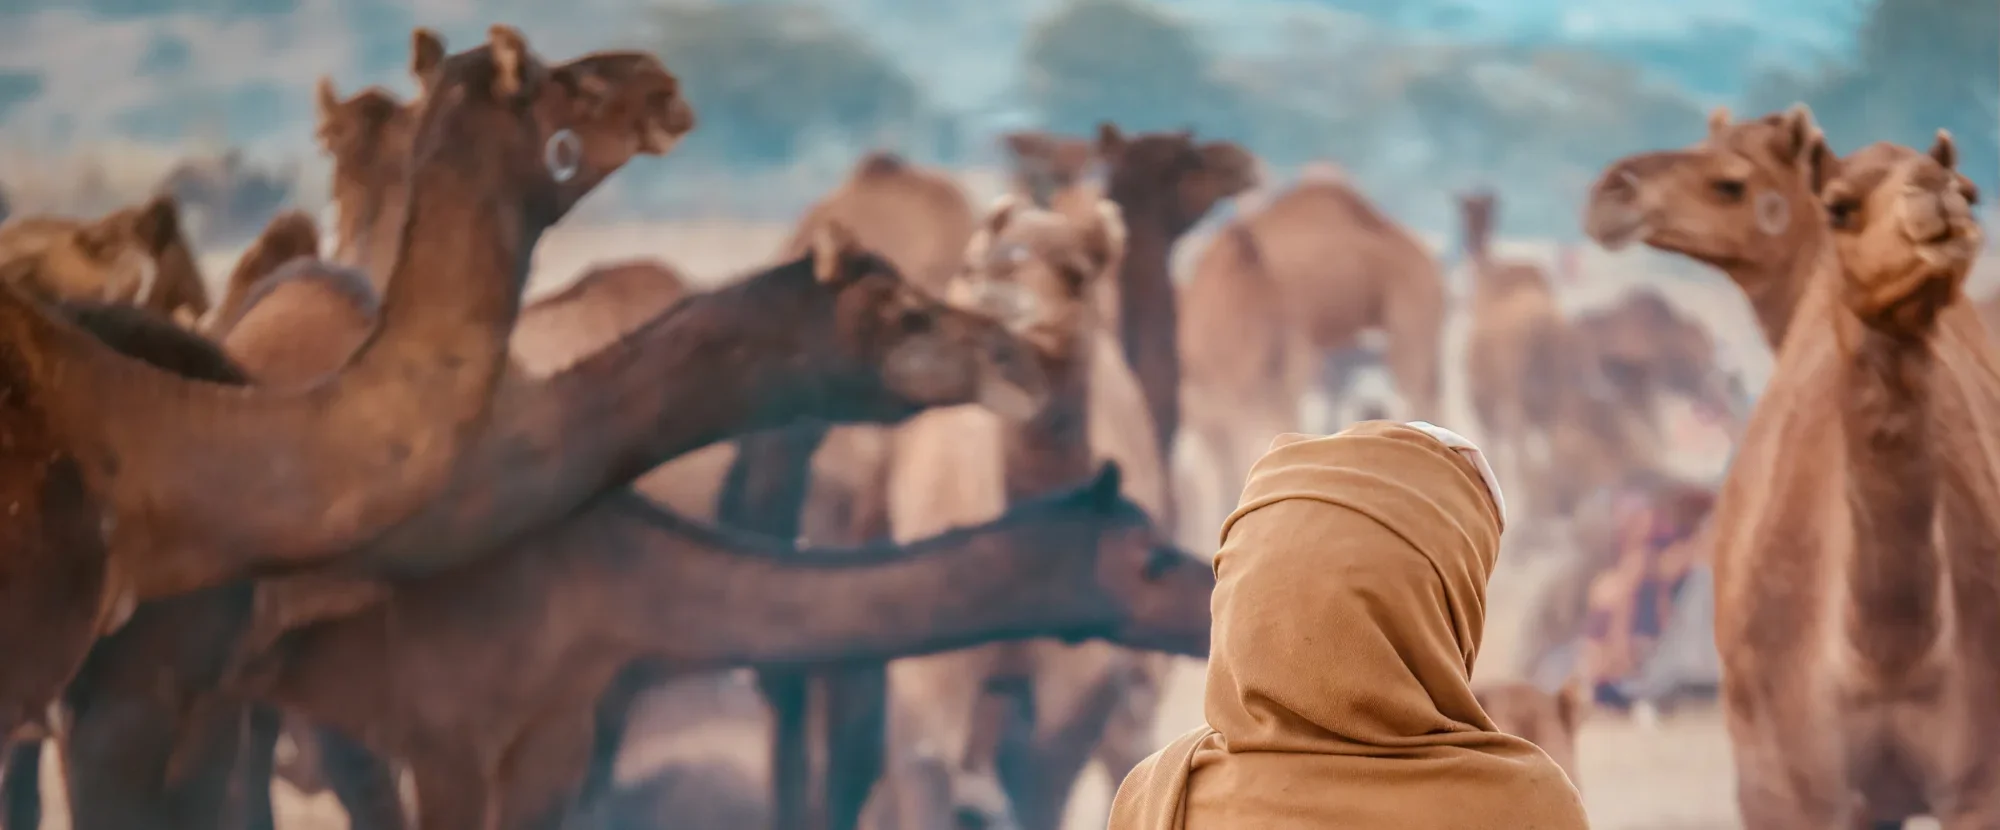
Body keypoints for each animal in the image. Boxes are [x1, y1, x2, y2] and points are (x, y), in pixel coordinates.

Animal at [1587, 108, 1999, 827]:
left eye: (1970, 192)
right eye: (1838, 205)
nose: (1612, 191)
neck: (1887, 657)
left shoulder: (1981, 781)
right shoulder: (1785, 786)